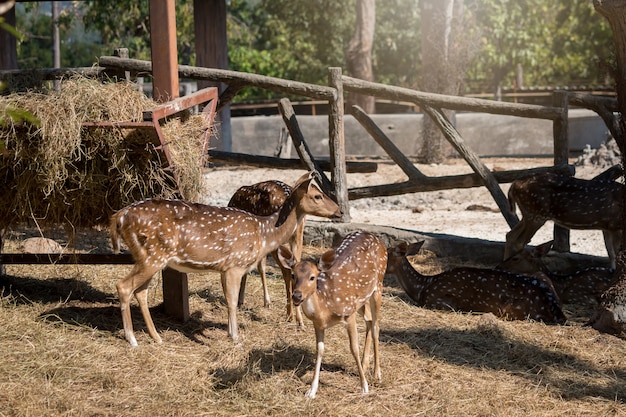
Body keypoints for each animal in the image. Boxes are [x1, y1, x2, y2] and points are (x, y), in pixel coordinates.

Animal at [227, 179, 304, 324]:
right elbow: (258, 267)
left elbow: (255, 268)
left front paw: (243, 301)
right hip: (298, 234)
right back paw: (299, 319)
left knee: (286, 270)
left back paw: (289, 315)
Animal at [276, 231, 388, 396]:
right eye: (293, 275)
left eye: (312, 277)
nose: (296, 296)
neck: (326, 308)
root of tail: (375, 237)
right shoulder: (318, 325)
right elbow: (320, 350)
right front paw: (312, 391)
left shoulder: (349, 313)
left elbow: (354, 348)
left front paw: (364, 387)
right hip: (361, 299)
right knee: (369, 320)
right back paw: (364, 364)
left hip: (378, 286)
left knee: (376, 326)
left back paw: (377, 373)